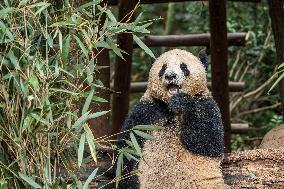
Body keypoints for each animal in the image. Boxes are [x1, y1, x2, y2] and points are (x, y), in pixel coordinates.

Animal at [115, 49, 226, 189]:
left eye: (183, 67)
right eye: (163, 68)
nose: (170, 76)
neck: (170, 106)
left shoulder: (205, 103)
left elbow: (208, 141)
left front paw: (183, 102)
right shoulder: (148, 110)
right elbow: (128, 144)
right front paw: (129, 181)